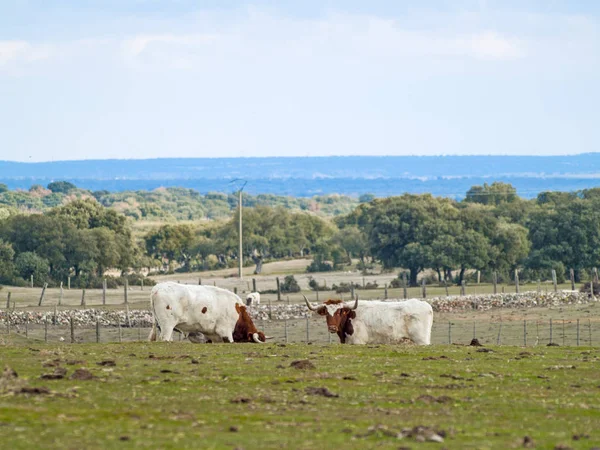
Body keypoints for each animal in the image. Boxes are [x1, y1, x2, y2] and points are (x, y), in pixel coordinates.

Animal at [302, 296, 434, 344]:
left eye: (339, 312)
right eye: (326, 313)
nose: (332, 328)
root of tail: (426, 305)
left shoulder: (358, 342)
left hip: (421, 340)